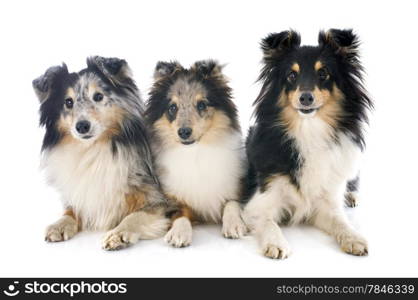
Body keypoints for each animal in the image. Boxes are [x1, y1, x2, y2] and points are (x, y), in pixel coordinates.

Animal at [33, 56, 171, 251]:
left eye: (98, 96)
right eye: (68, 102)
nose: (82, 126)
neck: (94, 149)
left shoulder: (160, 202)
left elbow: (134, 216)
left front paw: (118, 234)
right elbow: (70, 210)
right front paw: (59, 225)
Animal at [146, 59, 248, 247]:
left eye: (202, 104)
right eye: (172, 107)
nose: (184, 132)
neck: (195, 153)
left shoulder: (239, 186)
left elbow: (232, 203)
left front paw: (234, 225)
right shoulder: (172, 200)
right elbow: (180, 214)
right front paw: (178, 233)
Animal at [242, 29, 372, 258]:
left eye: (324, 73)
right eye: (291, 75)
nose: (305, 98)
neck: (309, 130)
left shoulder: (325, 203)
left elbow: (340, 221)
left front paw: (353, 238)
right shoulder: (260, 201)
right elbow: (268, 222)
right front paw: (276, 243)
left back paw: (350, 196)